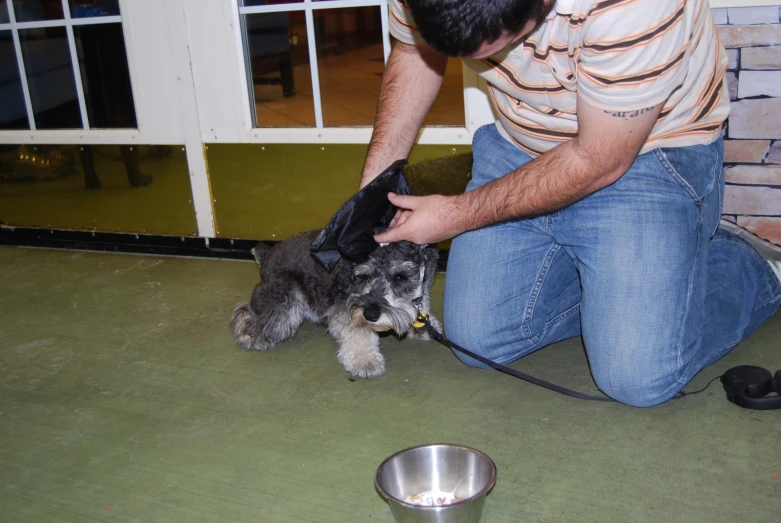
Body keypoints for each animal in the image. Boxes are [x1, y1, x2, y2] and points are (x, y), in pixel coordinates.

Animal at [229, 231, 442, 378]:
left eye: (399, 277)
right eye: (364, 276)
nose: (371, 315)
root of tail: (269, 254)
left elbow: (423, 302)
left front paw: (423, 327)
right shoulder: (347, 307)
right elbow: (359, 332)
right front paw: (364, 360)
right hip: (282, 300)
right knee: (249, 313)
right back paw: (248, 336)